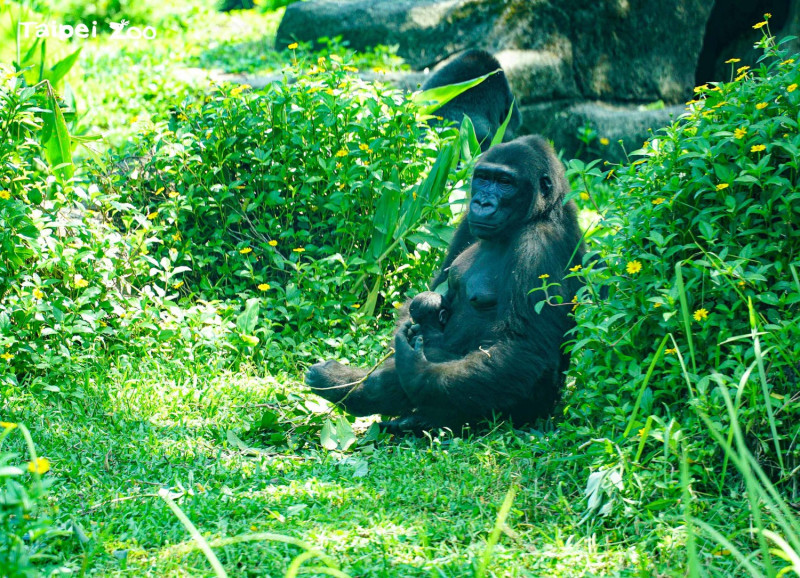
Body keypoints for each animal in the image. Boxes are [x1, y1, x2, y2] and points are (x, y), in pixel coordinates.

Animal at [304, 136, 584, 432]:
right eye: (483, 178)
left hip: (527, 413)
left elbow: (522, 347)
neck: (540, 213)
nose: (482, 203)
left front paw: (416, 372)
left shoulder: (539, 247)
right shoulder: (467, 223)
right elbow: (436, 286)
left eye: (505, 182)